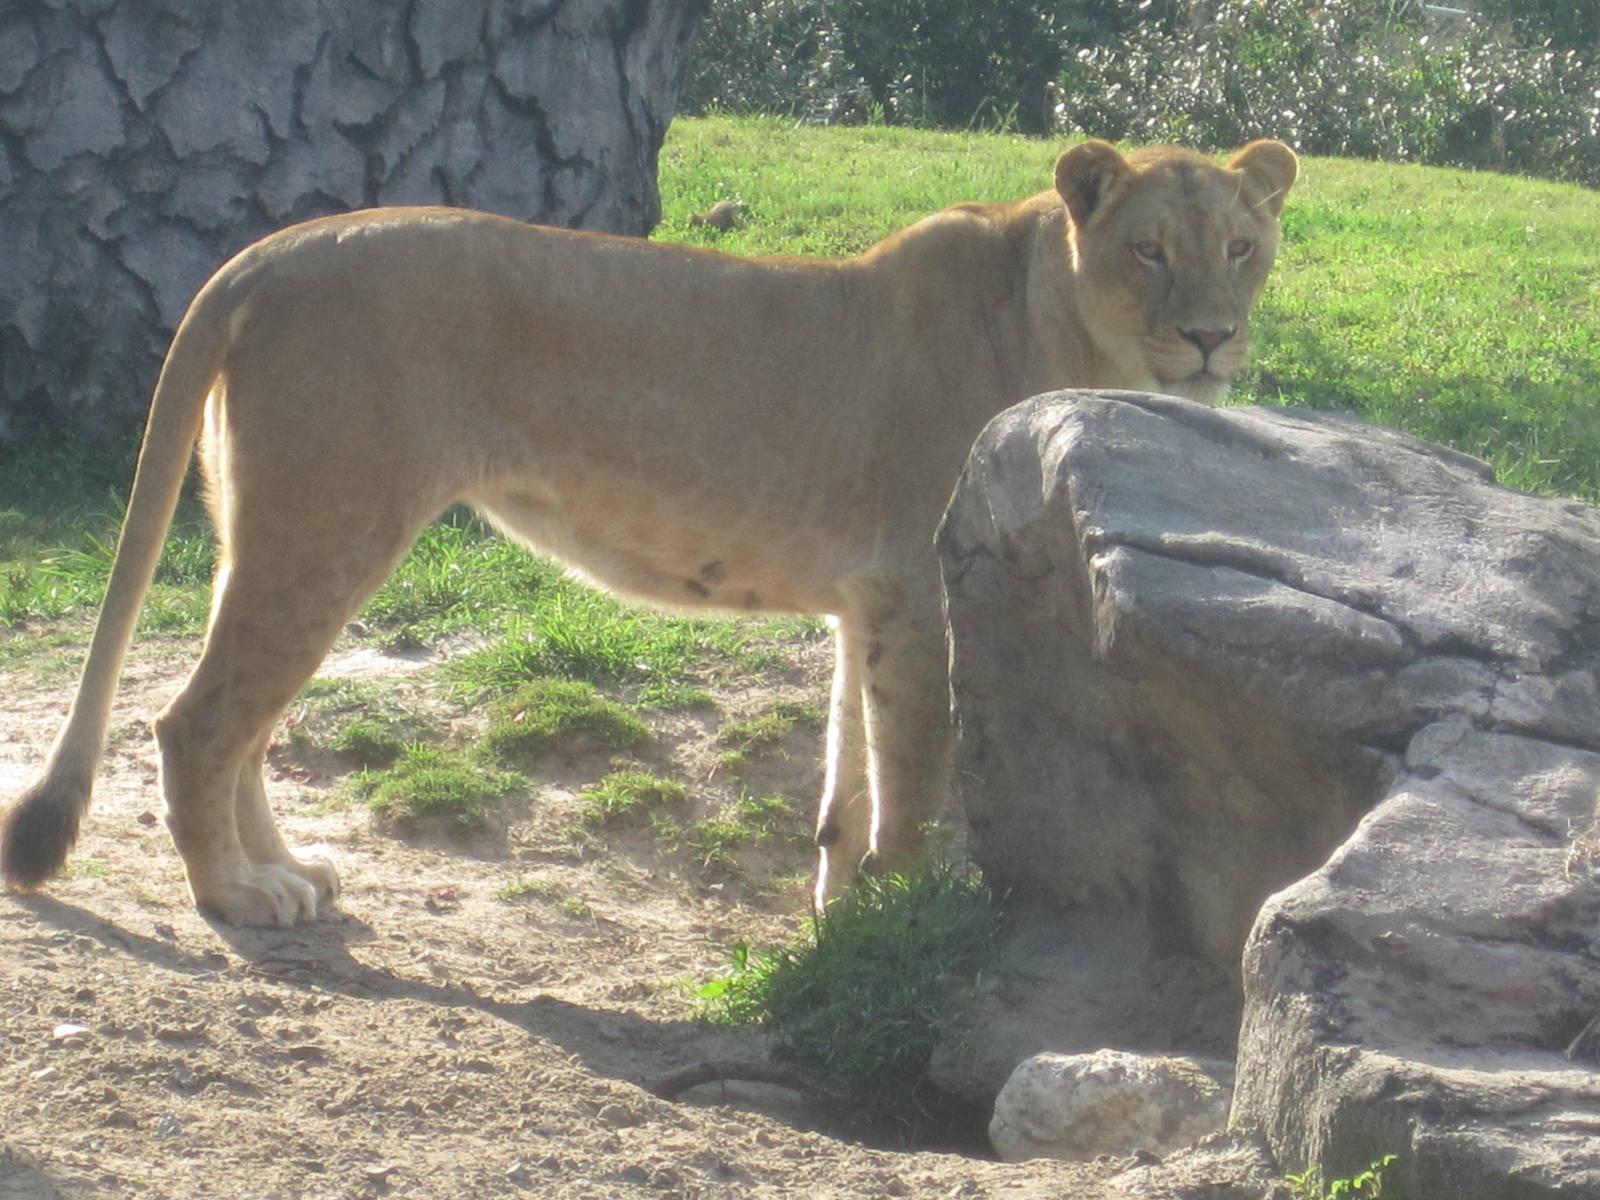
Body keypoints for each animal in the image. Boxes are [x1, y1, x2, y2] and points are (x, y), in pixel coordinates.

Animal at [2, 138, 1295, 926]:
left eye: (1242, 247)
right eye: (1148, 250)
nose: (1212, 339)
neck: (1059, 325)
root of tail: (266, 253)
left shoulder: (870, 601)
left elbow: (850, 772)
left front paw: (840, 918)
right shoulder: (921, 589)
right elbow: (916, 778)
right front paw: (901, 916)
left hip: (270, 529)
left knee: (247, 722)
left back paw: (282, 870)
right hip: (331, 520)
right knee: (196, 719)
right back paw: (235, 897)